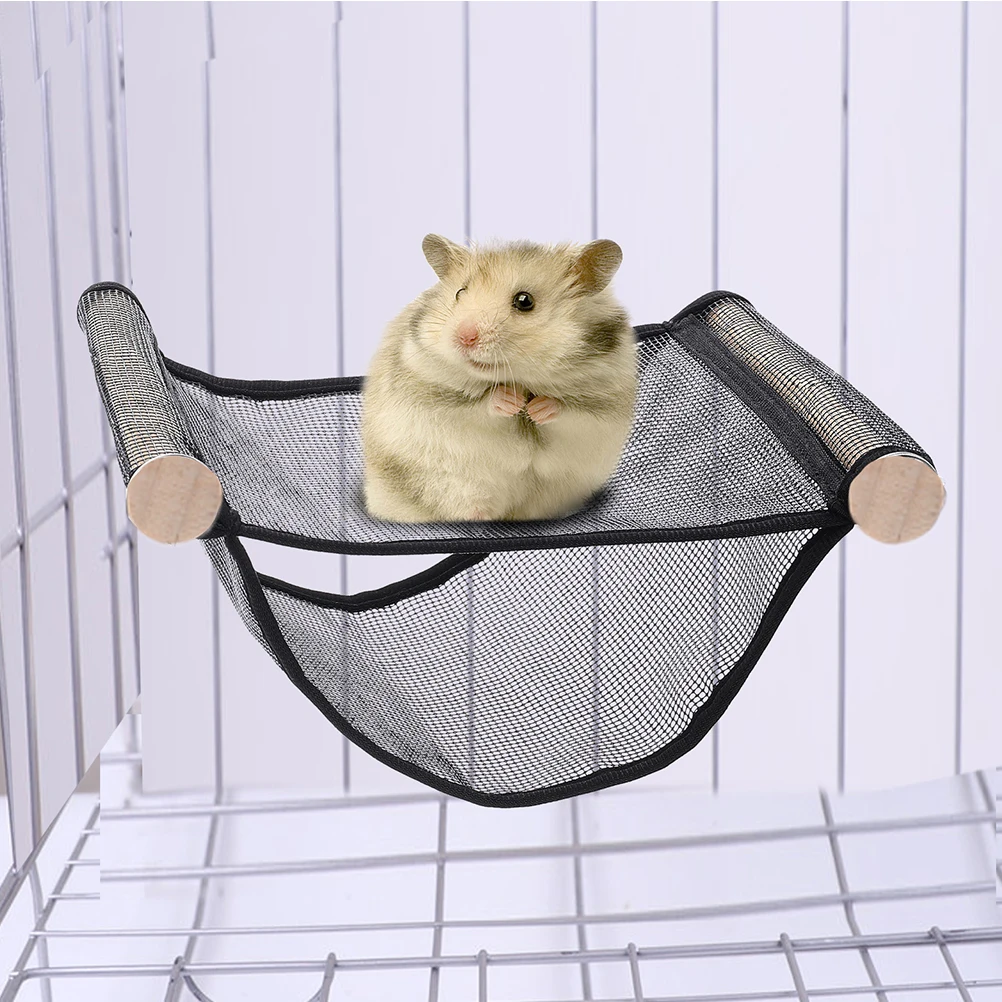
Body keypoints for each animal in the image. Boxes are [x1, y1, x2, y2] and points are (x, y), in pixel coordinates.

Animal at [359, 234, 638, 522]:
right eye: (460, 293)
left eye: (524, 301)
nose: (464, 337)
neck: (520, 378)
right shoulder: (431, 394)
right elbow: (478, 406)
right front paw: (512, 401)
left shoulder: (603, 406)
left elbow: (568, 411)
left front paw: (536, 408)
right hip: (443, 485)